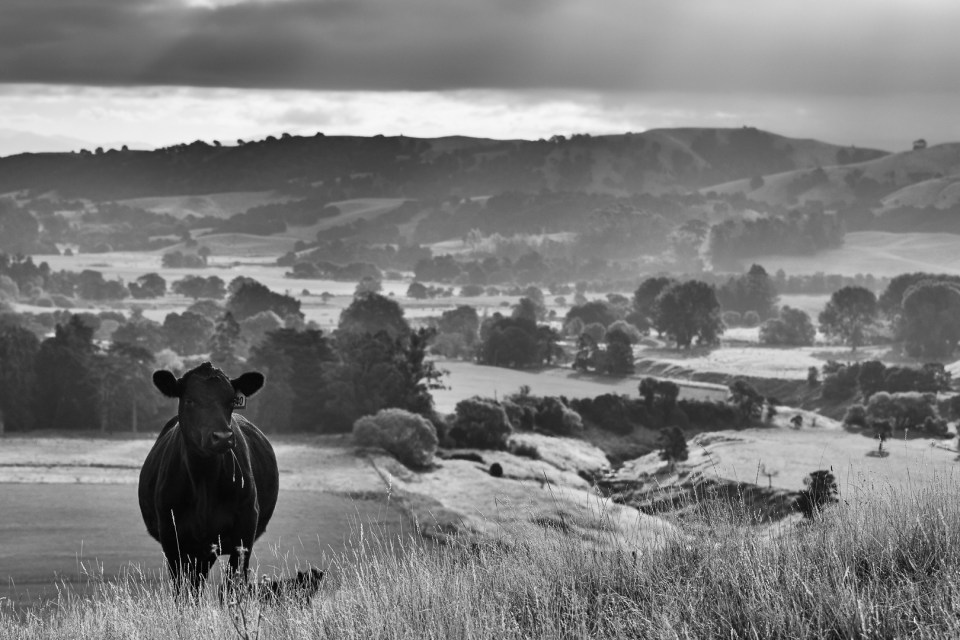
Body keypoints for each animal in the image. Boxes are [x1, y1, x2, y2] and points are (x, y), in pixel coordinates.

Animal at [138, 362, 279, 593]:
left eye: (231, 401)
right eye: (189, 400)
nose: (222, 437)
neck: (204, 479)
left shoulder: (245, 528)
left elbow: (233, 583)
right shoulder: (171, 535)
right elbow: (182, 589)